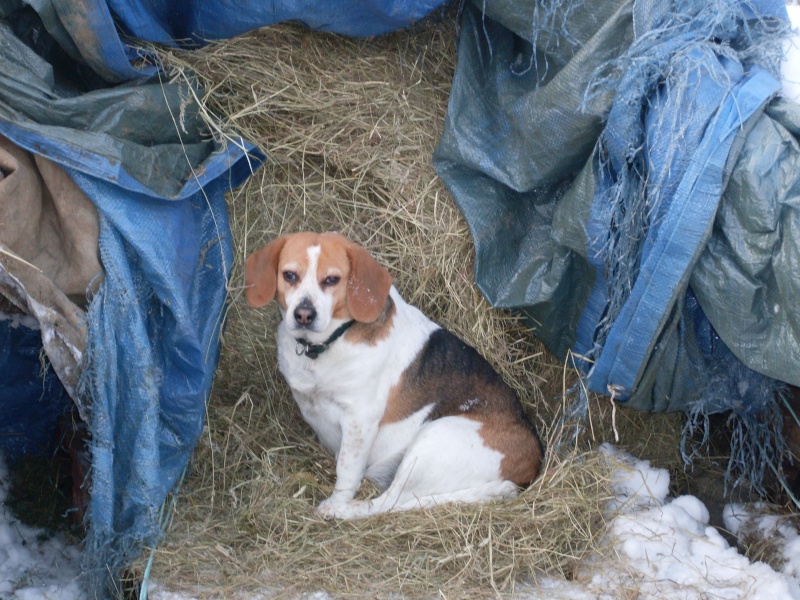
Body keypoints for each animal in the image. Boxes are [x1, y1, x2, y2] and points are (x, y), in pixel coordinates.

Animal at [244, 232, 544, 516]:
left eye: (331, 279)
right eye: (289, 275)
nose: (304, 314)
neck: (325, 346)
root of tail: (534, 460)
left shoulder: (360, 419)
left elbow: (347, 471)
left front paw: (338, 500)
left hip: (431, 441)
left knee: (387, 503)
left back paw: (342, 511)